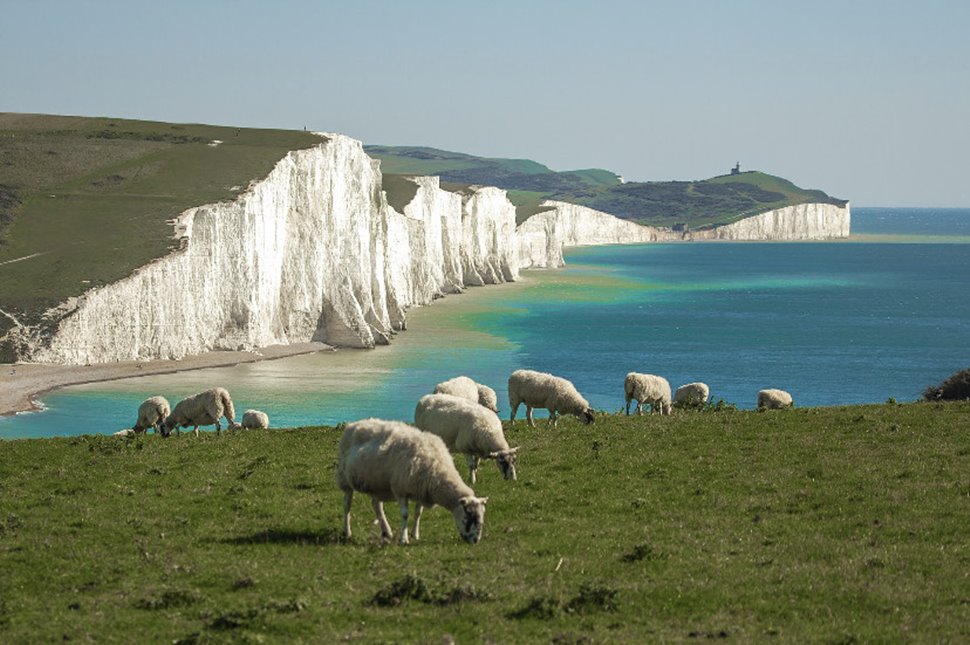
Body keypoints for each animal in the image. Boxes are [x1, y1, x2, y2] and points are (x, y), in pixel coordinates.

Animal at [334, 418, 488, 544]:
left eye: (481, 516)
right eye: (468, 516)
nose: (476, 541)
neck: (437, 471)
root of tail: (354, 424)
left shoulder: (421, 489)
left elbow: (418, 513)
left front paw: (415, 534)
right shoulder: (401, 489)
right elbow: (405, 514)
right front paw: (404, 539)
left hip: (377, 484)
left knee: (376, 505)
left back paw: (386, 531)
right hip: (344, 478)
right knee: (346, 505)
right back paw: (347, 532)